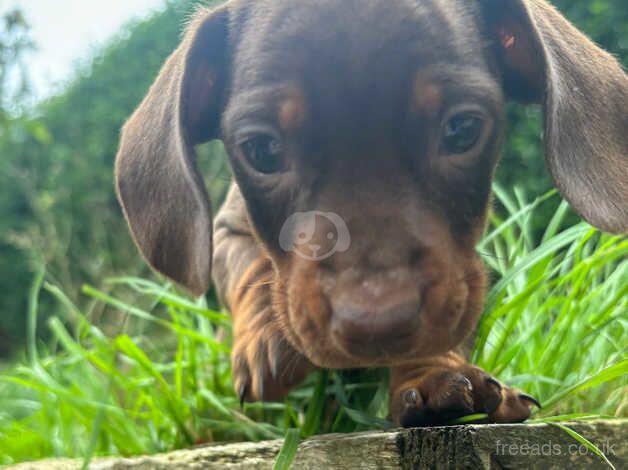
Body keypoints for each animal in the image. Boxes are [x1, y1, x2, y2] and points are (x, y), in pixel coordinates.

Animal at [115, 0, 624, 426]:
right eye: (261, 150)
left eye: (462, 129)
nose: (376, 325)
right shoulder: (229, 230)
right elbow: (252, 272)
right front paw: (265, 341)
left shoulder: (461, 281)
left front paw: (430, 375)